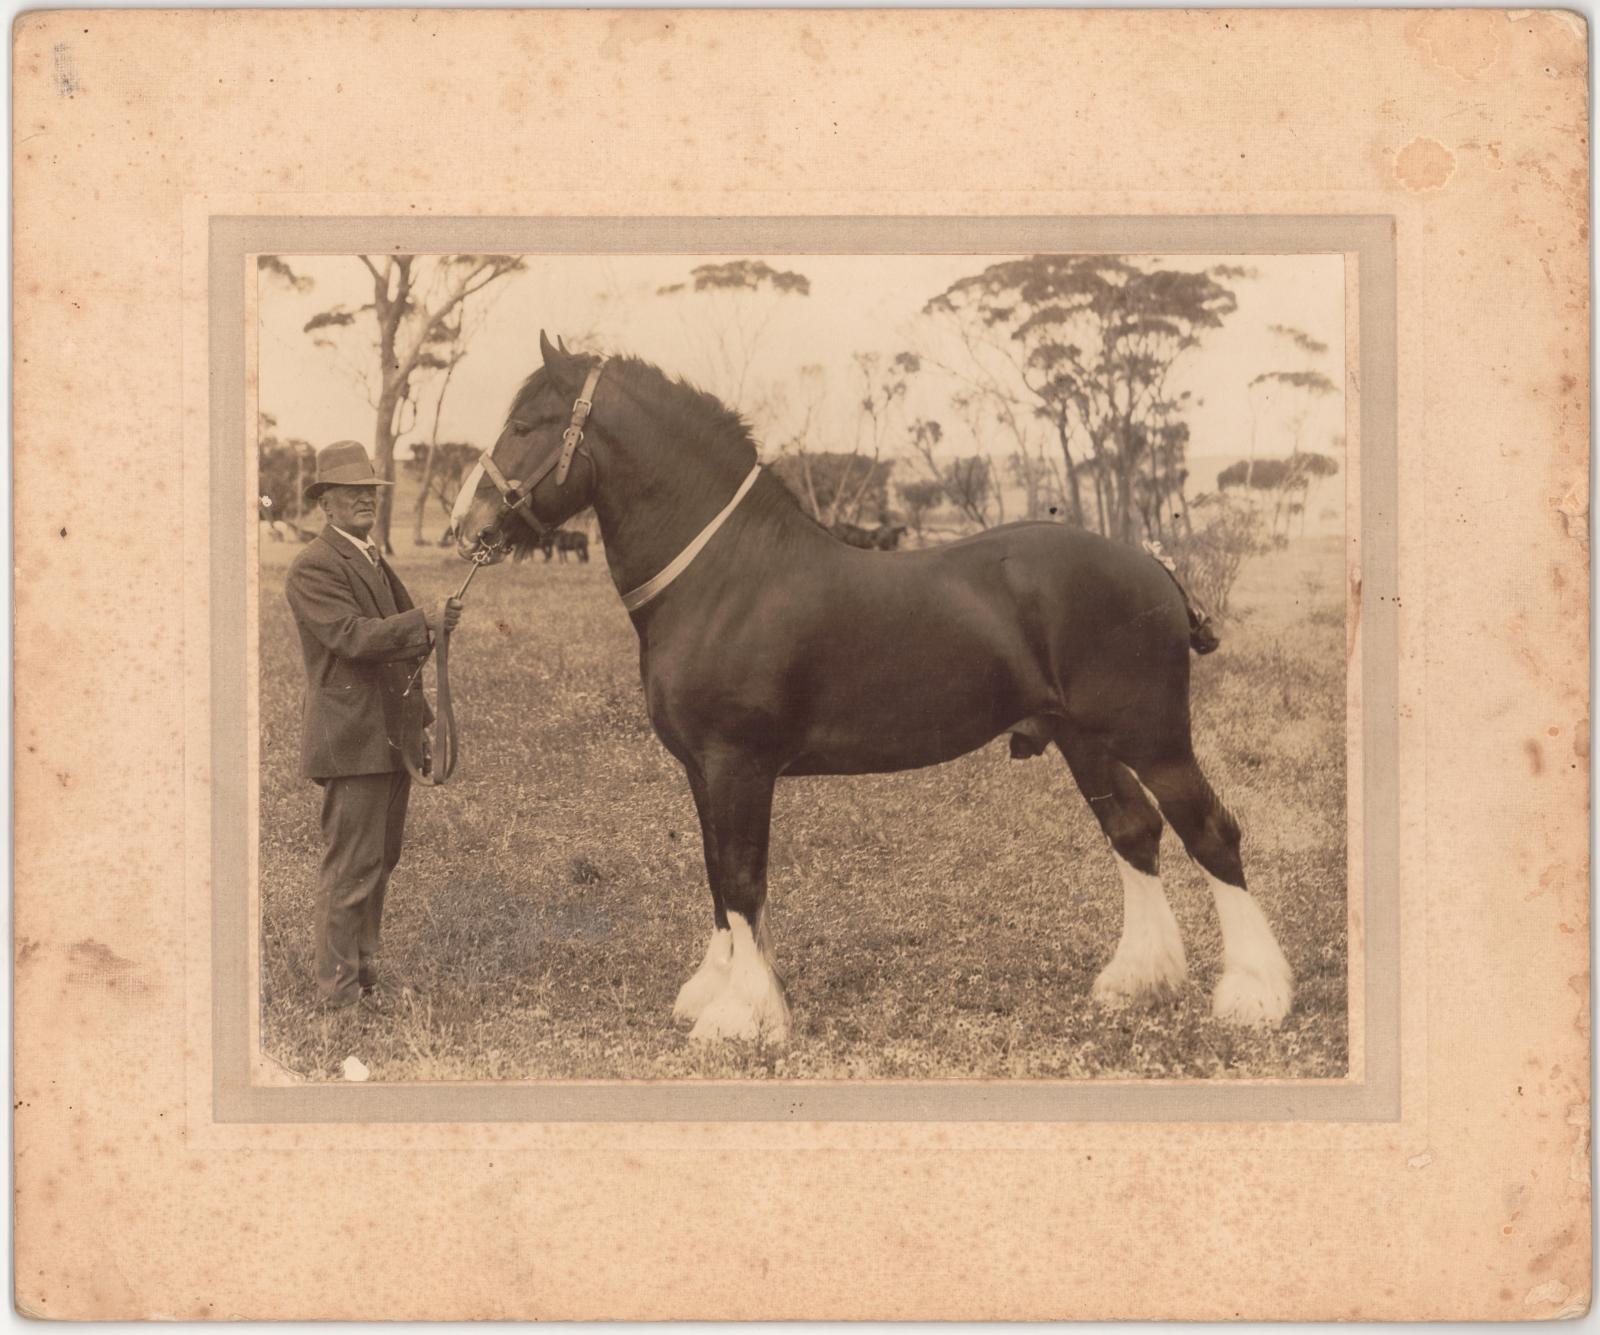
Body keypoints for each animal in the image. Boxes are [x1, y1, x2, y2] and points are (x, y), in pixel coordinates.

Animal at [451, 332, 1299, 1037]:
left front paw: (742, 1014)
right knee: (1135, 832)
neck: (723, 576)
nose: (466, 525)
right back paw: (1137, 979)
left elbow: (742, 877)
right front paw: (717, 990)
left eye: (529, 422)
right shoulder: (701, 770)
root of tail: (1153, 564)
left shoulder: (737, 765)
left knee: (1211, 832)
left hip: (1154, 738)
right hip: (1085, 743)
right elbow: (716, 874)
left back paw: (1254, 994)